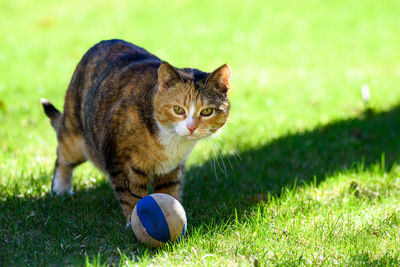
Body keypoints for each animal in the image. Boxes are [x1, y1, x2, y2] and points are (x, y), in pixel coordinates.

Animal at [41, 39, 231, 223]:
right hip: (75, 134)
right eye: (178, 109)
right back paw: (60, 190)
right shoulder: (120, 161)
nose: (191, 127)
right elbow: (130, 195)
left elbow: (169, 193)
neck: (171, 142)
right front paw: (134, 221)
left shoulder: (171, 169)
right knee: (63, 156)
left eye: (206, 111)